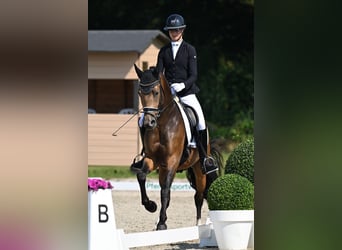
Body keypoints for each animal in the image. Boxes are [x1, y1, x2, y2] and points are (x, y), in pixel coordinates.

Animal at [130, 64, 222, 230]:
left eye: (156, 92)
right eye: (140, 93)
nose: (148, 123)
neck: (162, 124)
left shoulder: (172, 161)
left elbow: (165, 190)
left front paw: (161, 223)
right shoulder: (152, 159)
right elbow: (142, 176)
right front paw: (151, 206)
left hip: (199, 168)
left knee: (199, 196)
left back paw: (198, 225)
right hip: (164, 168)